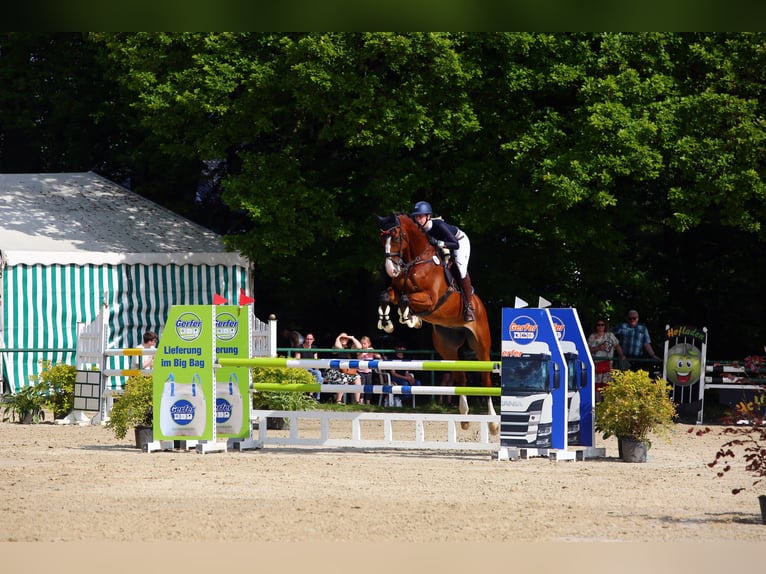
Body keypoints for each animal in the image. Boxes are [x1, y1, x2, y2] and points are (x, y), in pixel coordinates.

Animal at [376, 214, 500, 434]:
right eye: (382, 238)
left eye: (396, 237)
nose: (391, 270)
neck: (415, 260)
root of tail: (480, 305)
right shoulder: (396, 291)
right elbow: (387, 296)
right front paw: (389, 322)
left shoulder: (430, 299)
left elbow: (406, 300)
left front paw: (408, 318)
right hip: (446, 346)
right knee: (460, 378)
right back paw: (465, 418)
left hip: (481, 345)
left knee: (486, 380)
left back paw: (493, 424)